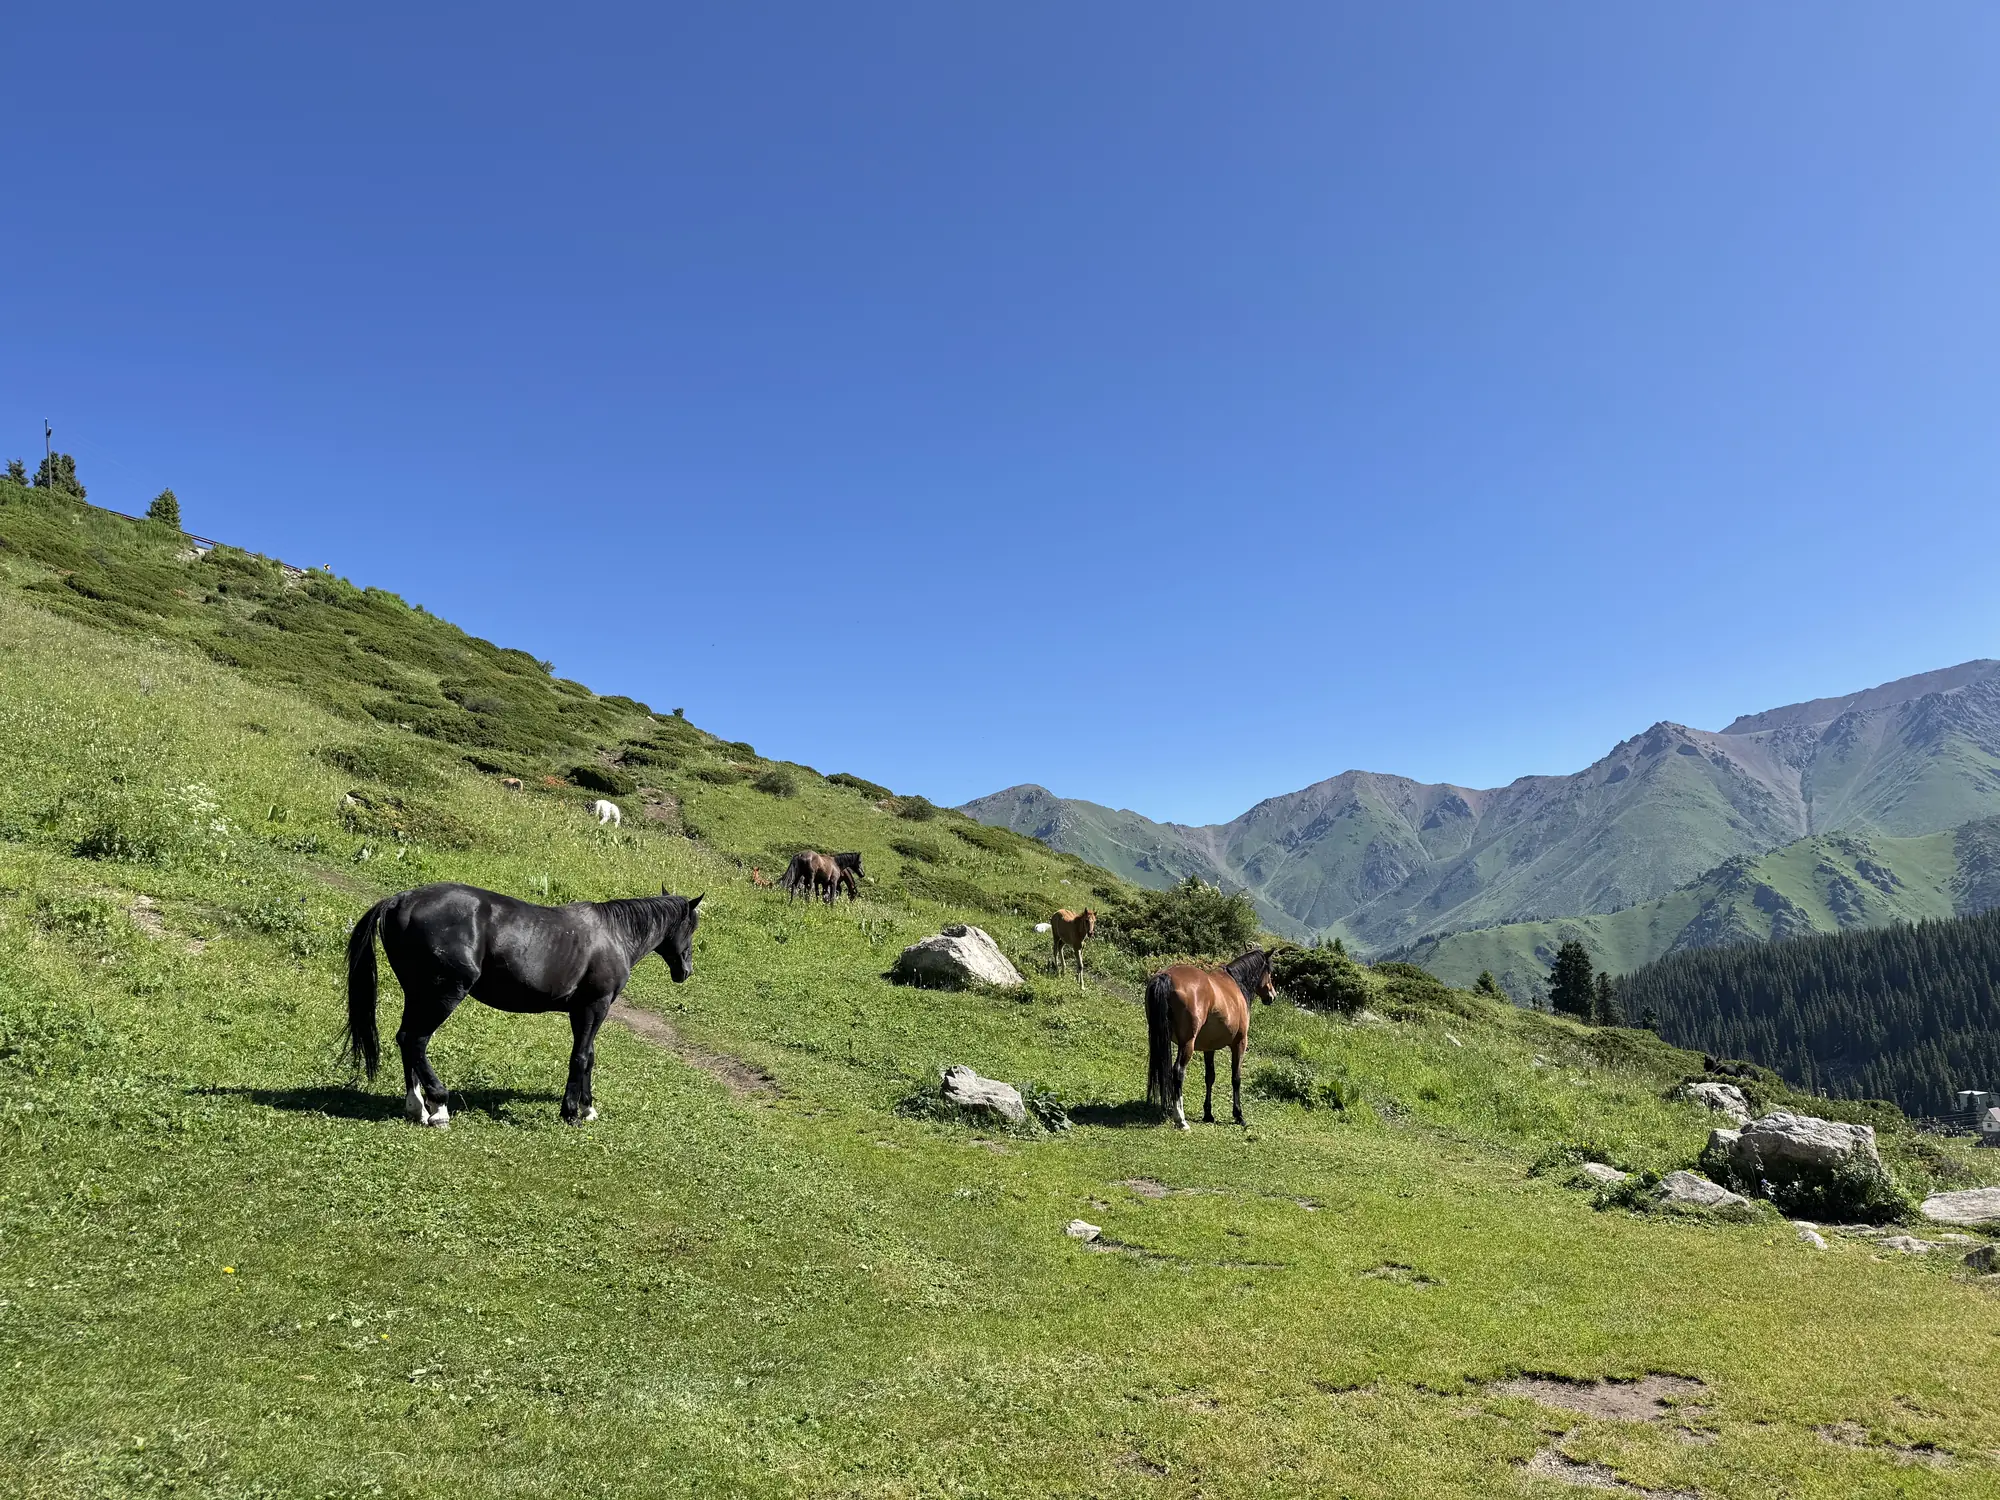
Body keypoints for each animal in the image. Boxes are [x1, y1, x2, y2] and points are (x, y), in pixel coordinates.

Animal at [344, 883, 702, 1126]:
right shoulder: (594, 1007)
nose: (685, 970)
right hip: (443, 995)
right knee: (416, 1040)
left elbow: (588, 1057)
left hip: (418, 994)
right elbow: (580, 1057)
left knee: (405, 1039)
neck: (613, 936)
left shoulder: (581, 1011)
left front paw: (587, 1107)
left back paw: (417, 1106)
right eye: (692, 926)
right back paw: (439, 1106)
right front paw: (571, 1112)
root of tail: (401, 900)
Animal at [1144, 948, 1277, 1129]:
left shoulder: (1209, 1048)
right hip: (1187, 1044)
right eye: (1269, 971)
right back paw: (1181, 1119)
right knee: (1178, 1071)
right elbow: (1236, 1078)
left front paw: (1208, 1114)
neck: (1236, 984)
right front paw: (1239, 1115)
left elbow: (1210, 1077)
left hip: (1158, 1037)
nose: (1272, 995)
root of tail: (1167, 977)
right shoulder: (1240, 1043)